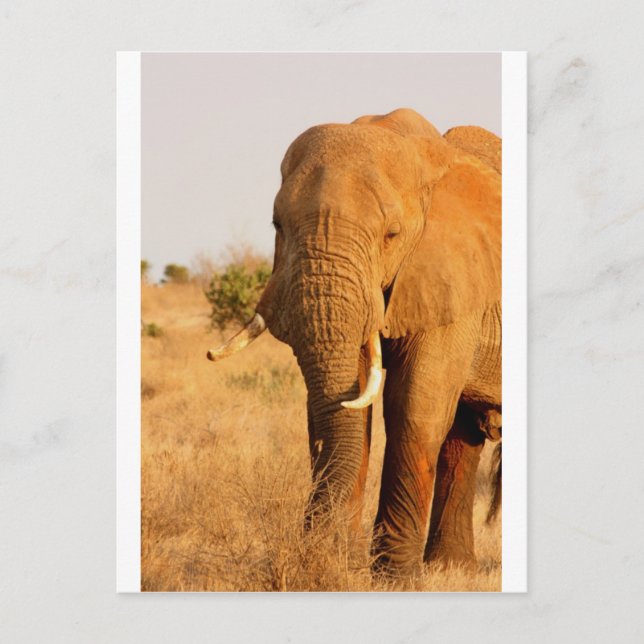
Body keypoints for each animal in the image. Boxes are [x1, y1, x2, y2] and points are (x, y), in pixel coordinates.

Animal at [207, 108, 502, 576]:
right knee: (463, 434)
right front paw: (338, 560)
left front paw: (395, 578)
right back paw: (451, 570)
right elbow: (348, 408)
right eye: (276, 225)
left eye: (392, 235)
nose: (317, 551)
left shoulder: (452, 275)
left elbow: (414, 409)